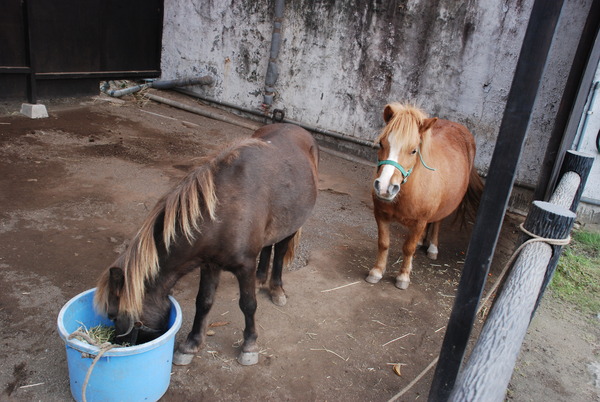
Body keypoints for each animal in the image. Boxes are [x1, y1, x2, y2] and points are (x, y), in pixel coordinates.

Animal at [94, 124, 318, 366]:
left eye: (113, 315)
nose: (117, 345)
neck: (221, 213)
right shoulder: (210, 264)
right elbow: (203, 302)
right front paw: (191, 345)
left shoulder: (244, 266)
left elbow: (248, 304)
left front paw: (249, 345)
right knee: (268, 247)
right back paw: (260, 280)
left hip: (292, 226)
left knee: (279, 251)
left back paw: (276, 289)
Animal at [366, 103, 482, 288]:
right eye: (382, 144)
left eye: (414, 151)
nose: (384, 188)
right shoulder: (381, 215)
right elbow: (383, 243)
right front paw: (377, 271)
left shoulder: (419, 221)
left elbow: (408, 248)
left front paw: (403, 277)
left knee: (438, 221)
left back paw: (433, 247)